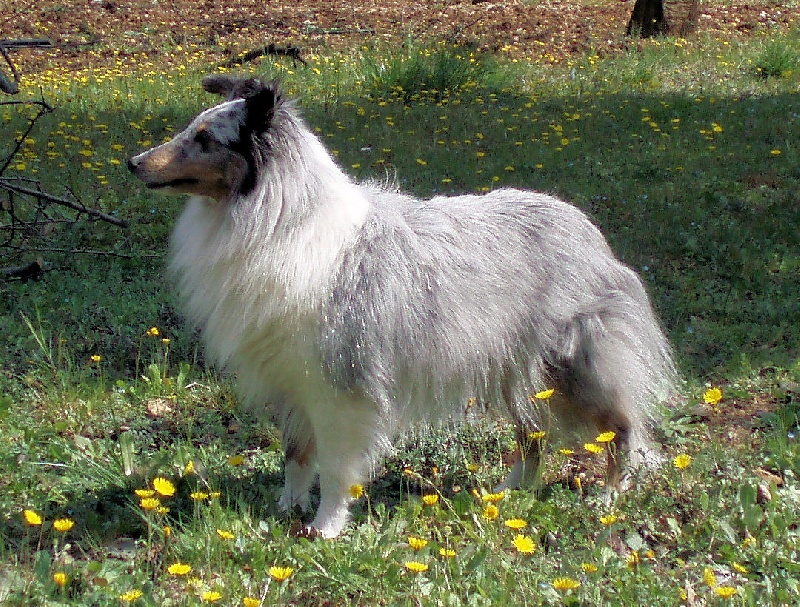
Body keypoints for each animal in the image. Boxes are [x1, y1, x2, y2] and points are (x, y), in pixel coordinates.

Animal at [128, 76, 680, 536]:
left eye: (205, 138)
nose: (133, 163)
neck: (279, 218)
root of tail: (587, 230)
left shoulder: (341, 390)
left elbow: (335, 468)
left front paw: (324, 528)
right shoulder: (293, 383)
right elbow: (296, 456)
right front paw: (286, 509)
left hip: (572, 367)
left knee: (623, 428)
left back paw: (608, 497)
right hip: (514, 371)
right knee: (534, 437)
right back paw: (506, 493)